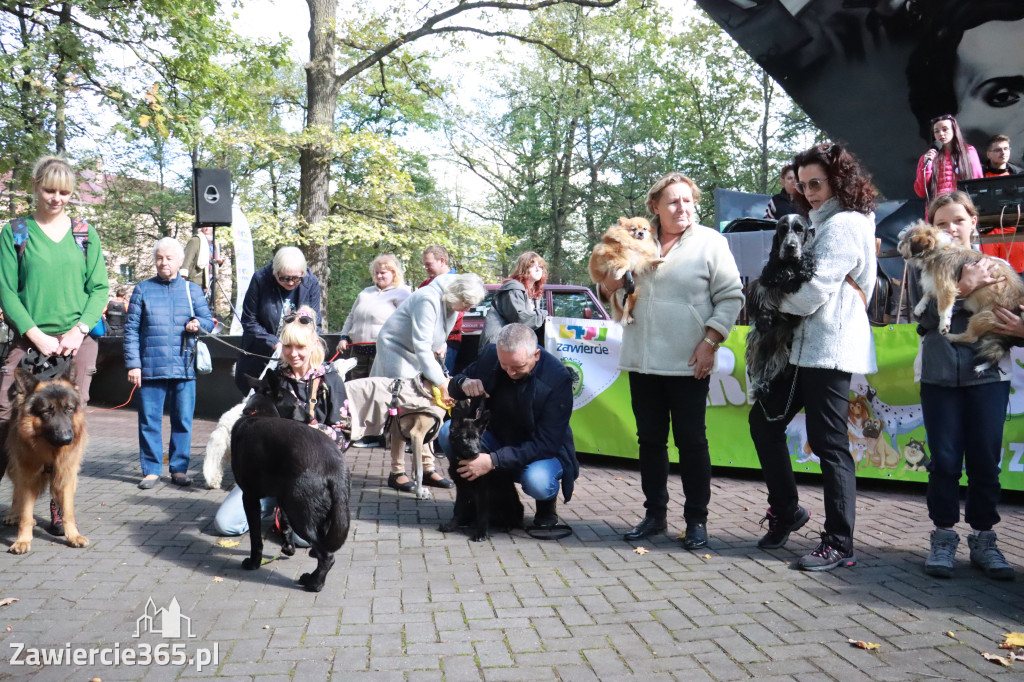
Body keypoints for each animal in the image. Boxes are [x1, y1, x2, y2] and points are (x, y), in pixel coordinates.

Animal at [2, 364, 87, 548]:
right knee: (17, 490)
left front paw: (73, 535)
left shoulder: (66, 475)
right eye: (47, 412)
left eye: (69, 409)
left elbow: (68, 511)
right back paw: (14, 513)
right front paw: (23, 540)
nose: (67, 439)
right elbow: (26, 513)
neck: (51, 452)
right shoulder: (27, 476)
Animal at [230, 372, 350, 589]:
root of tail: (335, 466)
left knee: (327, 556)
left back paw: (314, 583)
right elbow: (284, 522)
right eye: (296, 403)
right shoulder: (281, 496)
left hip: (301, 512)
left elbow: (255, 537)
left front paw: (253, 563)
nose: (311, 418)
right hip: (313, 508)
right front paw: (288, 547)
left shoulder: (249, 497)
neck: (260, 413)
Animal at [438, 399, 524, 540]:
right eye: (464, 438)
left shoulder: (483, 492)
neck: (463, 461)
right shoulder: (461, 489)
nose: (475, 453)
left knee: (513, 519)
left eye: (477, 438)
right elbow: (458, 509)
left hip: (510, 503)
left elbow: (482, 513)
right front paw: (452, 525)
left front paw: (481, 533)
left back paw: (506, 525)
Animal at [745, 212, 815, 401]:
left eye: (799, 230)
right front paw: (764, 319)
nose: (790, 246)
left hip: (781, 349)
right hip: (757, 340)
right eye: (783, 230)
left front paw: (794, 277)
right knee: (759, 366)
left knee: (771, 366)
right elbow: (765, 296)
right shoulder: (765, 280)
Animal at [901, 220, 1019, 368]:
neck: (937, 249)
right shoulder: (934, 284)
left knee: (972, 338)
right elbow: (927, 294)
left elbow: (943, 308)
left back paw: (951, 337)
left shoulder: (946, 287)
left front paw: (944, 324)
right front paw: (919, 306)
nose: (898, 246)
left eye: (904, 240)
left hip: (984, 315)